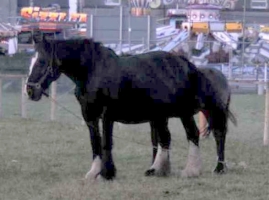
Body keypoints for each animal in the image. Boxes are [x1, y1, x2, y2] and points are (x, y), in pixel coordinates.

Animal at [24, 36, 234, 180]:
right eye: (31, 61)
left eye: (41, 61)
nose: (30, 90)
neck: (93, 71)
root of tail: (187, 64)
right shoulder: (89, 116)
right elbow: (95, 142)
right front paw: (94, 172)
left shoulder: (107, 114)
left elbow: (106, 142)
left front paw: (107, 173)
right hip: (160, 115)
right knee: (166, 139)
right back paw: (157, 170)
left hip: (185, 112)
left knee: (200, 134)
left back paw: (198, 170)